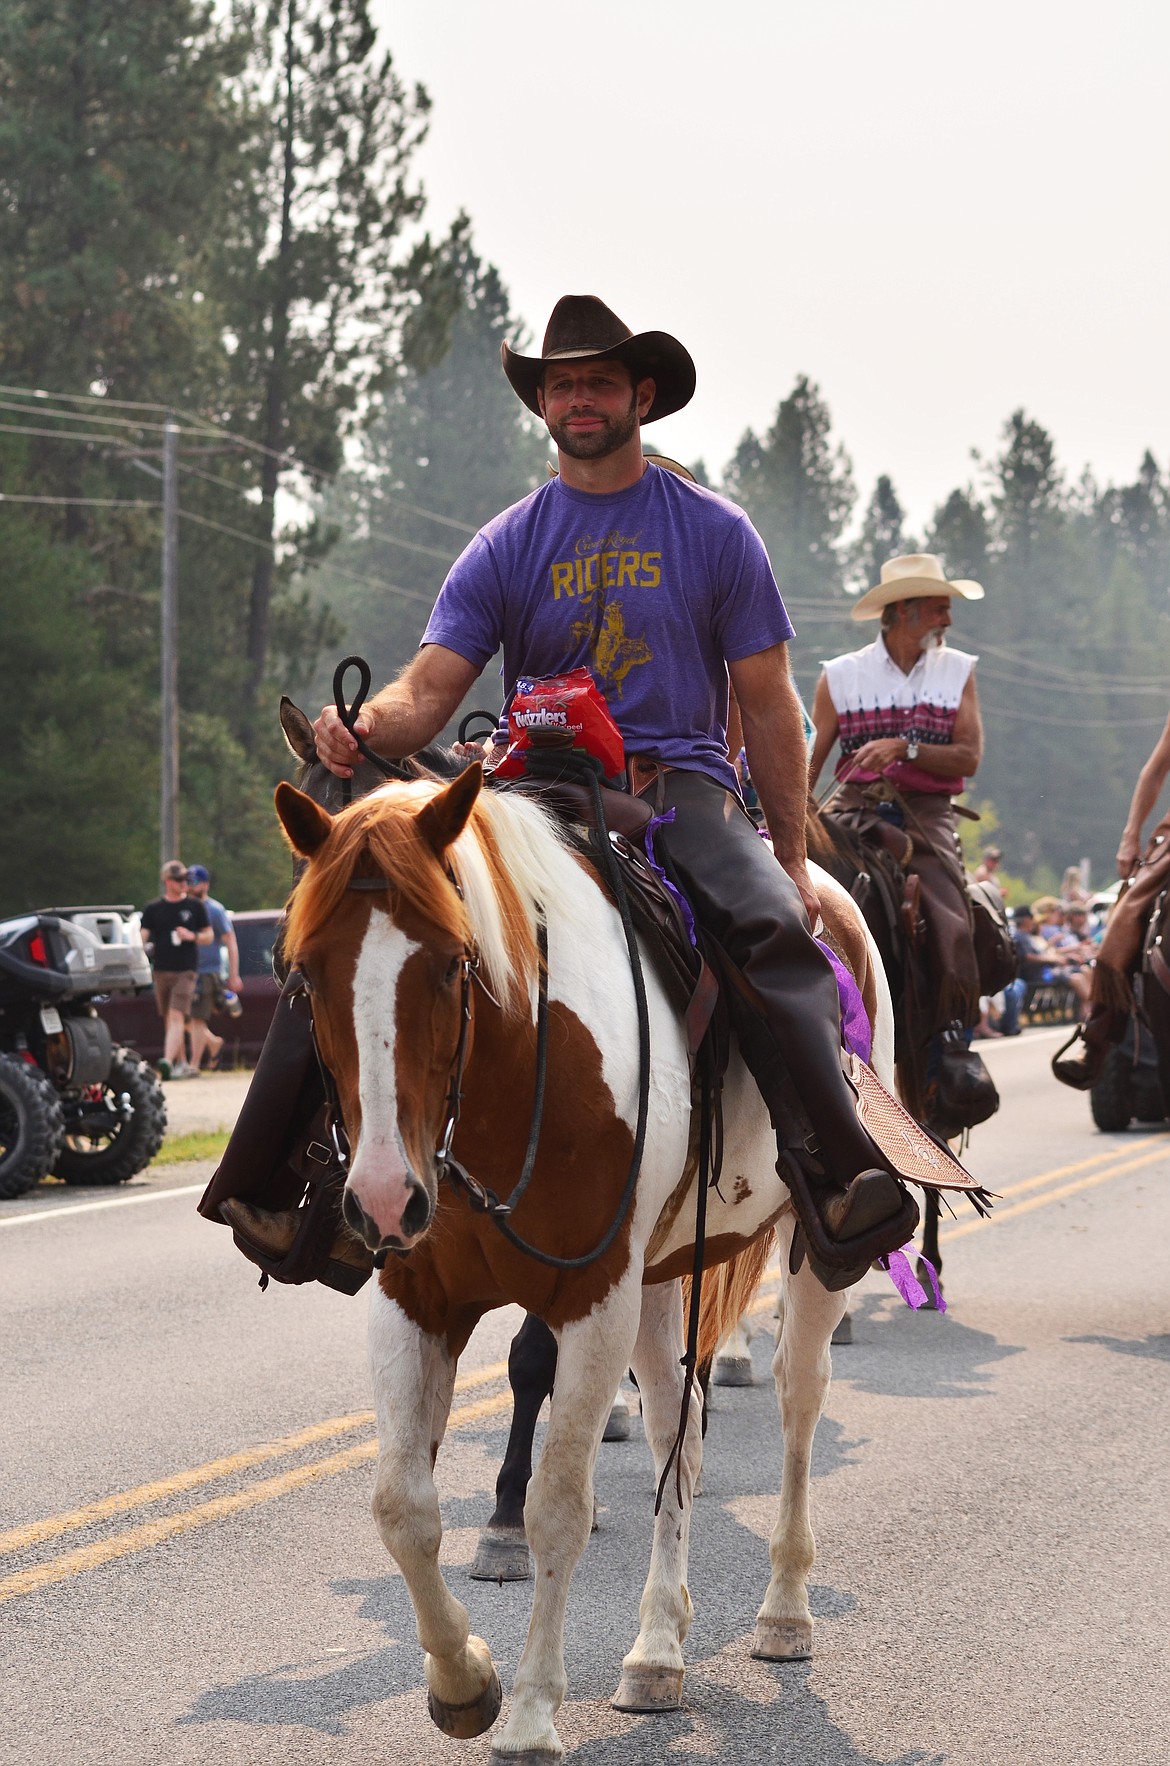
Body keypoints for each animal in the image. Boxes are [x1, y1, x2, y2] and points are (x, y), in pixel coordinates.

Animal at [275, 766, 896, 1758]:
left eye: (450, 963)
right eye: (306, 973)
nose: (379, 1197)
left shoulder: (592, 1300)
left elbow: (556, 1505)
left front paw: (530, 1711)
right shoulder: (414, 1297)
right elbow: (402, 1507)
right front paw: (464, 1681)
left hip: (805, 1258)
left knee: (799, 1399)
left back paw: (784, 1609)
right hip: (659, 1278)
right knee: (677, 1432)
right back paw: (656, 1651)